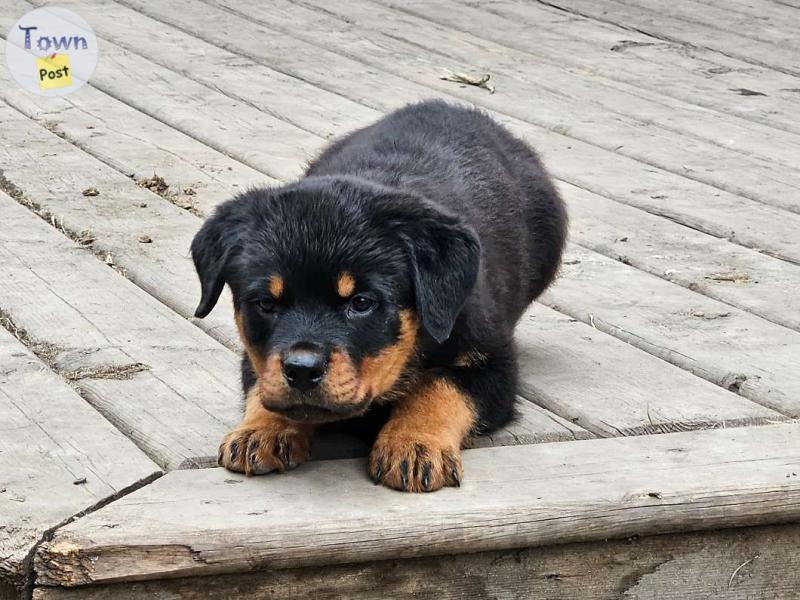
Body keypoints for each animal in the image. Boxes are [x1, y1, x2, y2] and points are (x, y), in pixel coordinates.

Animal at [192, 99, 568, 492]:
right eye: (265, 303)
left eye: (361, 303)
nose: (301, 371)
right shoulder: (257, 357)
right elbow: (262, 386)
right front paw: (262, 429)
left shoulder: (493, 362)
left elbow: (440, 386)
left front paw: (414, 443)